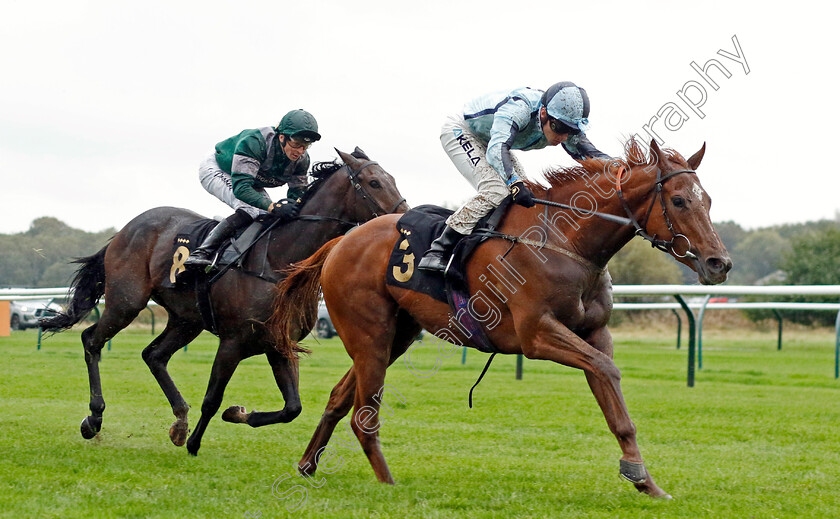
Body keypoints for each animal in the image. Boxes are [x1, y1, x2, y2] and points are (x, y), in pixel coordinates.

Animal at [41, 147, 408, 456]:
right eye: (374, 182)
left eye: (392, 178)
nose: (403, 218)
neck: (279, 261)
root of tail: (123, 231)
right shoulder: (233, 341)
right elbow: (212, 398)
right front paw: (194, 444)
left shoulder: (278, 342)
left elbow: (293, 408)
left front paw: (237, 414)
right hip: (126, 301)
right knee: (92, 340)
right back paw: (94, 420)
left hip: (186, 319)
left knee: (154, 355)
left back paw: (179, 420)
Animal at [272, 140, 732, 498]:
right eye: (678, 200)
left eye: (708, 200)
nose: (719, 263)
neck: (567, 241)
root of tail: (342, 240)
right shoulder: (537, 334)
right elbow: (605, 369)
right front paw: (637, 473)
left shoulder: (595, 332)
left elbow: (612, 393)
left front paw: (644, 480)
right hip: (370, 335)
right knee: (363, 417)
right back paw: (387, 483)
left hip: (395, 336)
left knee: (338, 397)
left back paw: (308, 464)